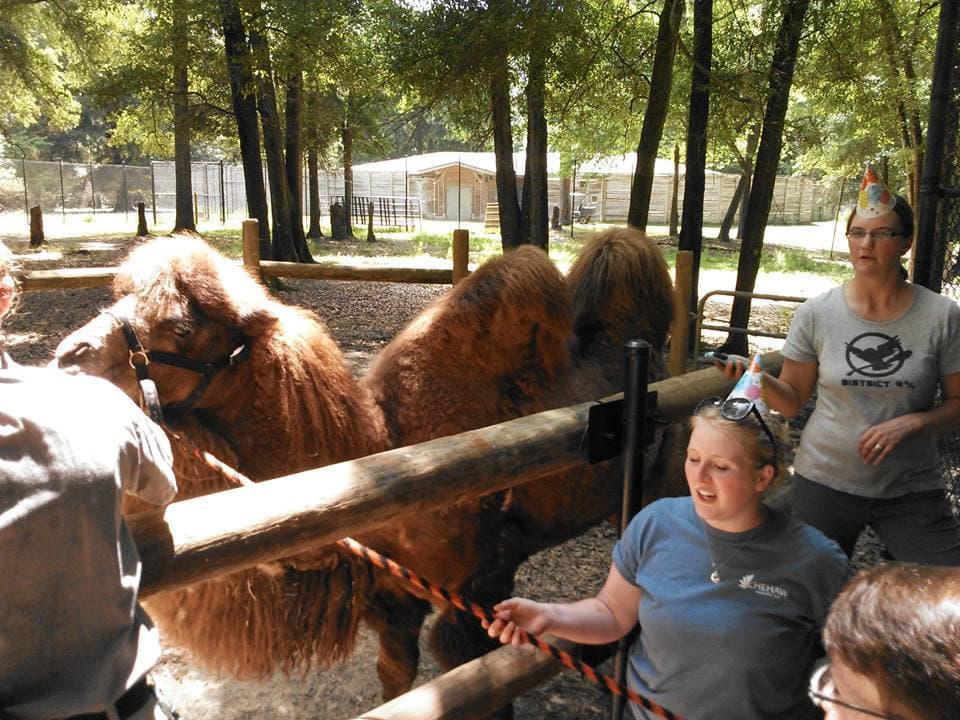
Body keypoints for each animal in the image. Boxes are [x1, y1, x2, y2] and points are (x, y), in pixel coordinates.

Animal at [53, 227, 680, 712]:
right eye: (121, 294)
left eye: (183, 327)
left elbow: (482, 678)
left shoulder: (482, 582)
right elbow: (397, 676)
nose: (69, 358)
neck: (384, 455)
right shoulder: (391, 594)